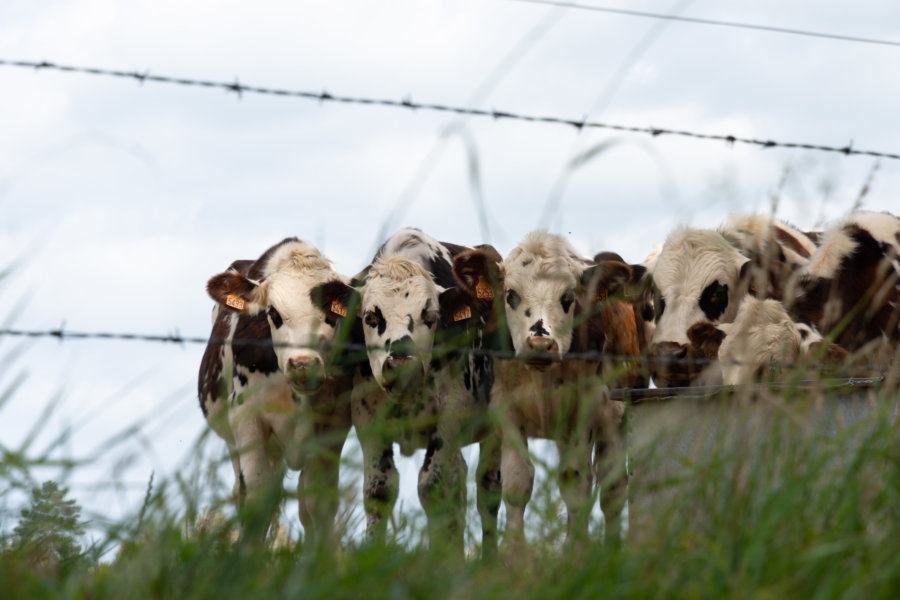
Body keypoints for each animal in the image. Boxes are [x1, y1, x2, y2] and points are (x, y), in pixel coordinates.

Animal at [199, 237, 354, 548]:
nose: (303, 364)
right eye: (273, 313)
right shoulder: (246, 418)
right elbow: (257, 501)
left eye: (332, 313)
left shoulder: (333, 425)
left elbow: (317, 503)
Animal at [314, 229, 500, 556]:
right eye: (370, 317)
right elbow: (379, 490)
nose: (401, 364)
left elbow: (434, 488)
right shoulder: (367, 417)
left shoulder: (451, 412)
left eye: (430, 316)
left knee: (490, 490)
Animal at [454, 231, 636, 548]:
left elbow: (576, 482)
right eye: (510, 295)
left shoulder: (583, 413)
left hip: (615, 422)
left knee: (613, 489)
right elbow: (517, 481)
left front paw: (576, 550)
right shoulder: (506, 412)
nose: (540, 343)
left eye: (569, 297)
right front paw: (513, 553)